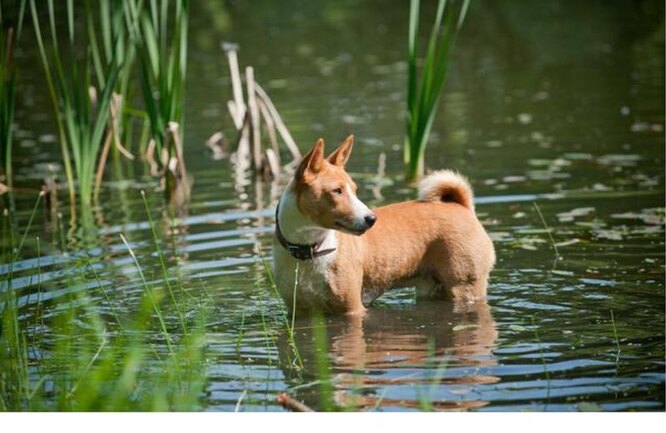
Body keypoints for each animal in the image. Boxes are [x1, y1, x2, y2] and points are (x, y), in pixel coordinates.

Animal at [270, 135, 492, 314]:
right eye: (337, 191)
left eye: (354, 189)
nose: (371, 219)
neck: (308, 250)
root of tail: (461, 206)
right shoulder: (299, 311)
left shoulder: (352, 309)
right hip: (430, 287)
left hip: (464, 287)